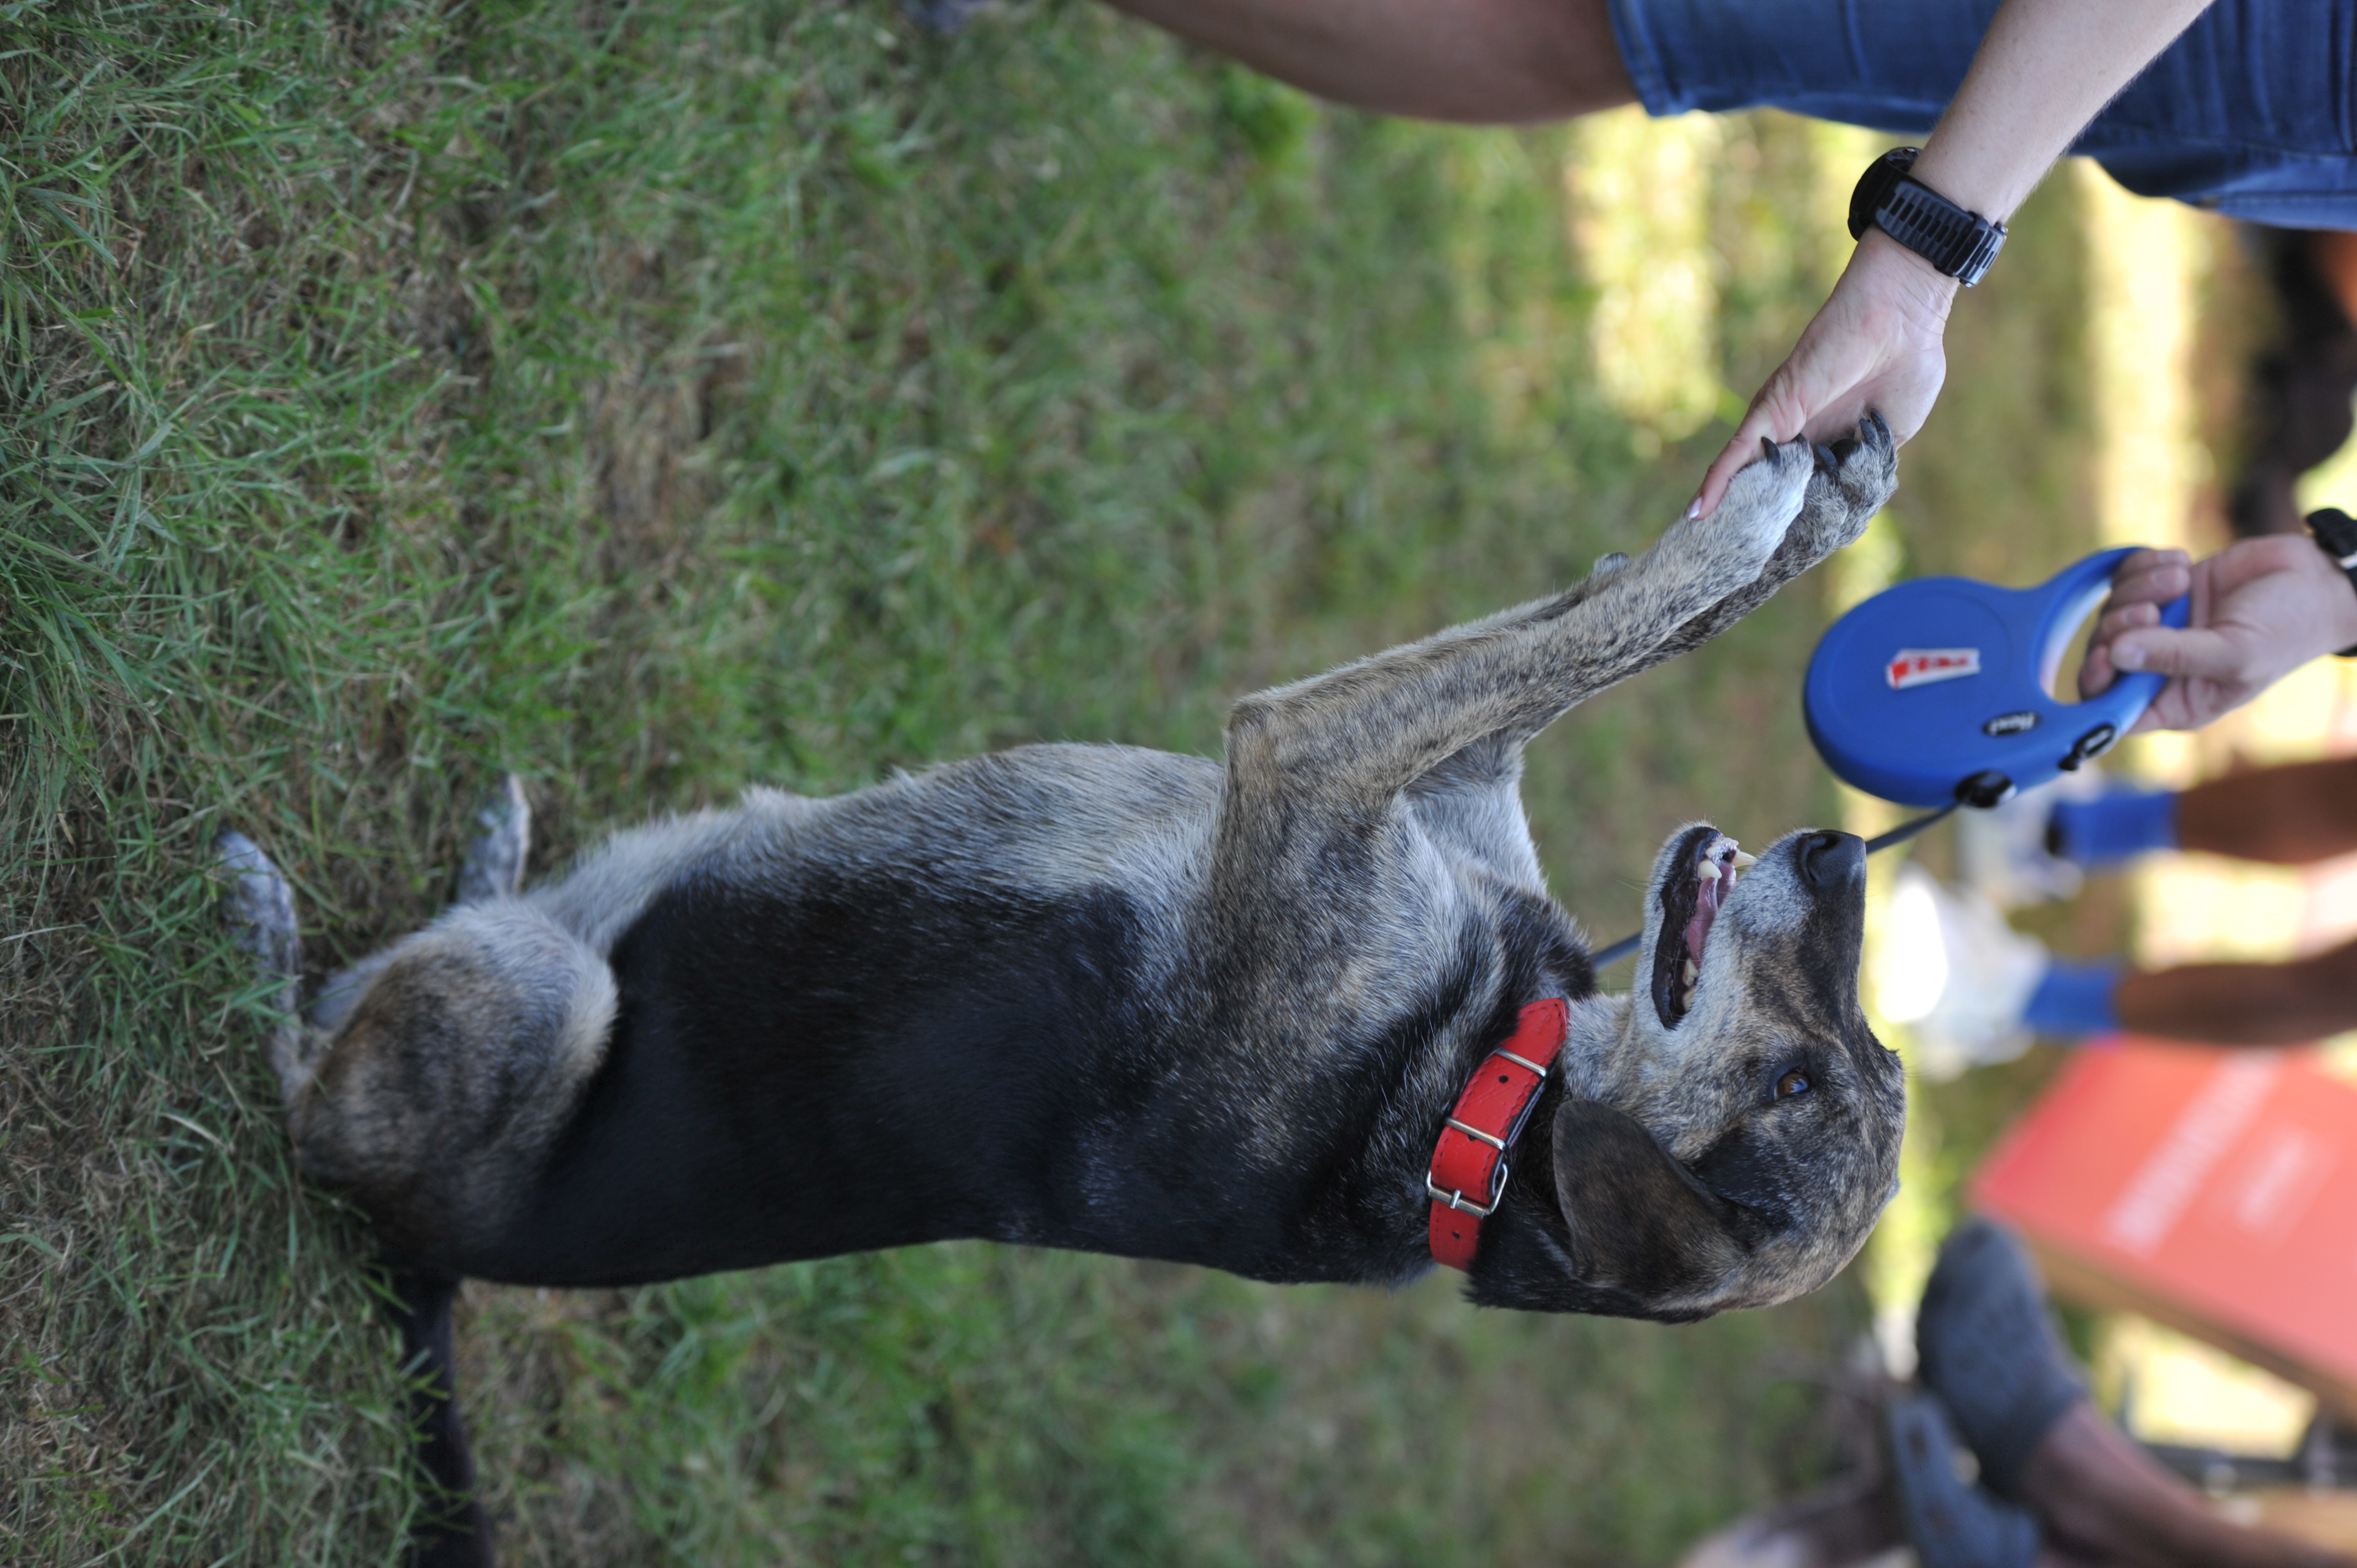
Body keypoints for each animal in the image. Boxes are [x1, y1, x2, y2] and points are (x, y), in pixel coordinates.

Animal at [221, 421, 1903, 1563]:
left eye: (1799, 1082)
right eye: (1852, 1059)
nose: (1842, 853)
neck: (1471, 1106)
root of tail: (427, 1268)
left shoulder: (1307, 759)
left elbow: (1597, 631)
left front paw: (1765, 511)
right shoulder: (1442, 777)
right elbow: (1624, 619)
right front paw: (1820, 489)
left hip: (548, 1007)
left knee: (293, 1093)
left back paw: (255, 922)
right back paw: (479, 857)